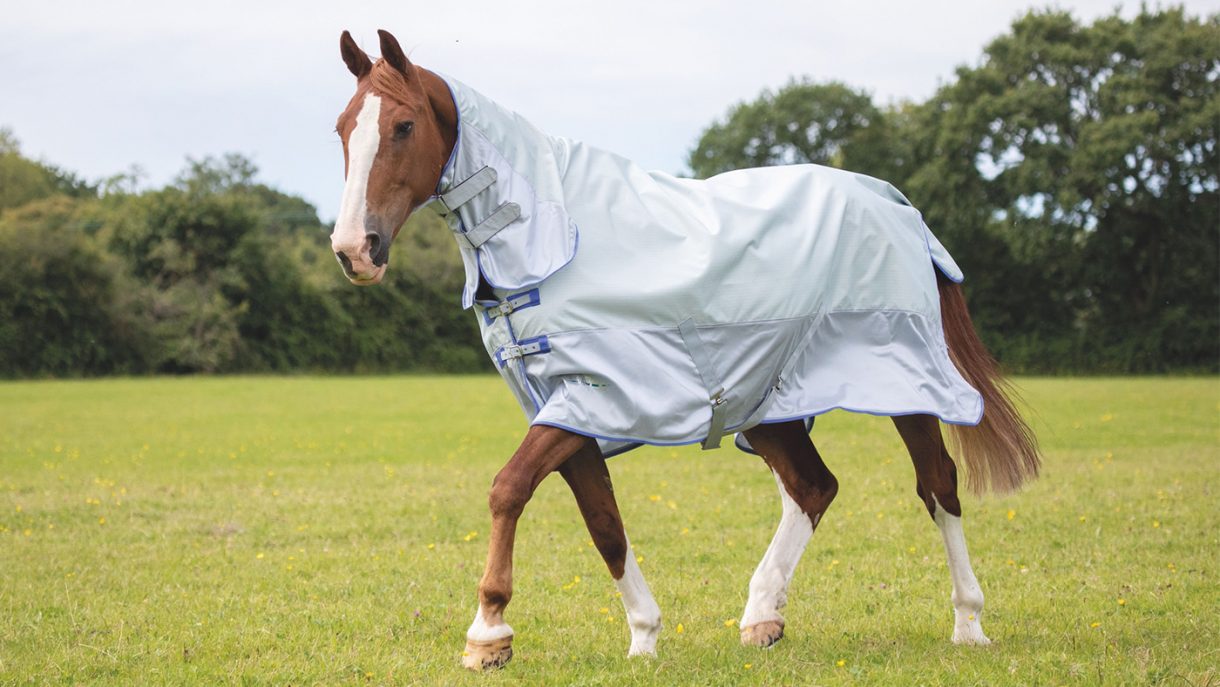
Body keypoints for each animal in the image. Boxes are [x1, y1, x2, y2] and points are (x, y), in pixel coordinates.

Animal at [329, 29, 1041, 670]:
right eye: (341, 129)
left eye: (402, 125)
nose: (354, 248)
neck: (555, 240)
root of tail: (893, 200)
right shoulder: (569, 411)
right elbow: (603, 523)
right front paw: (644, 635)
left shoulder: (591, 400)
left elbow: (508, 490)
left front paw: (489, 633)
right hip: (769, 404)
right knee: (813, 488)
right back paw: (762, 617)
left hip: (904, 388)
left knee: (937, 485)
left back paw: (968, 623)